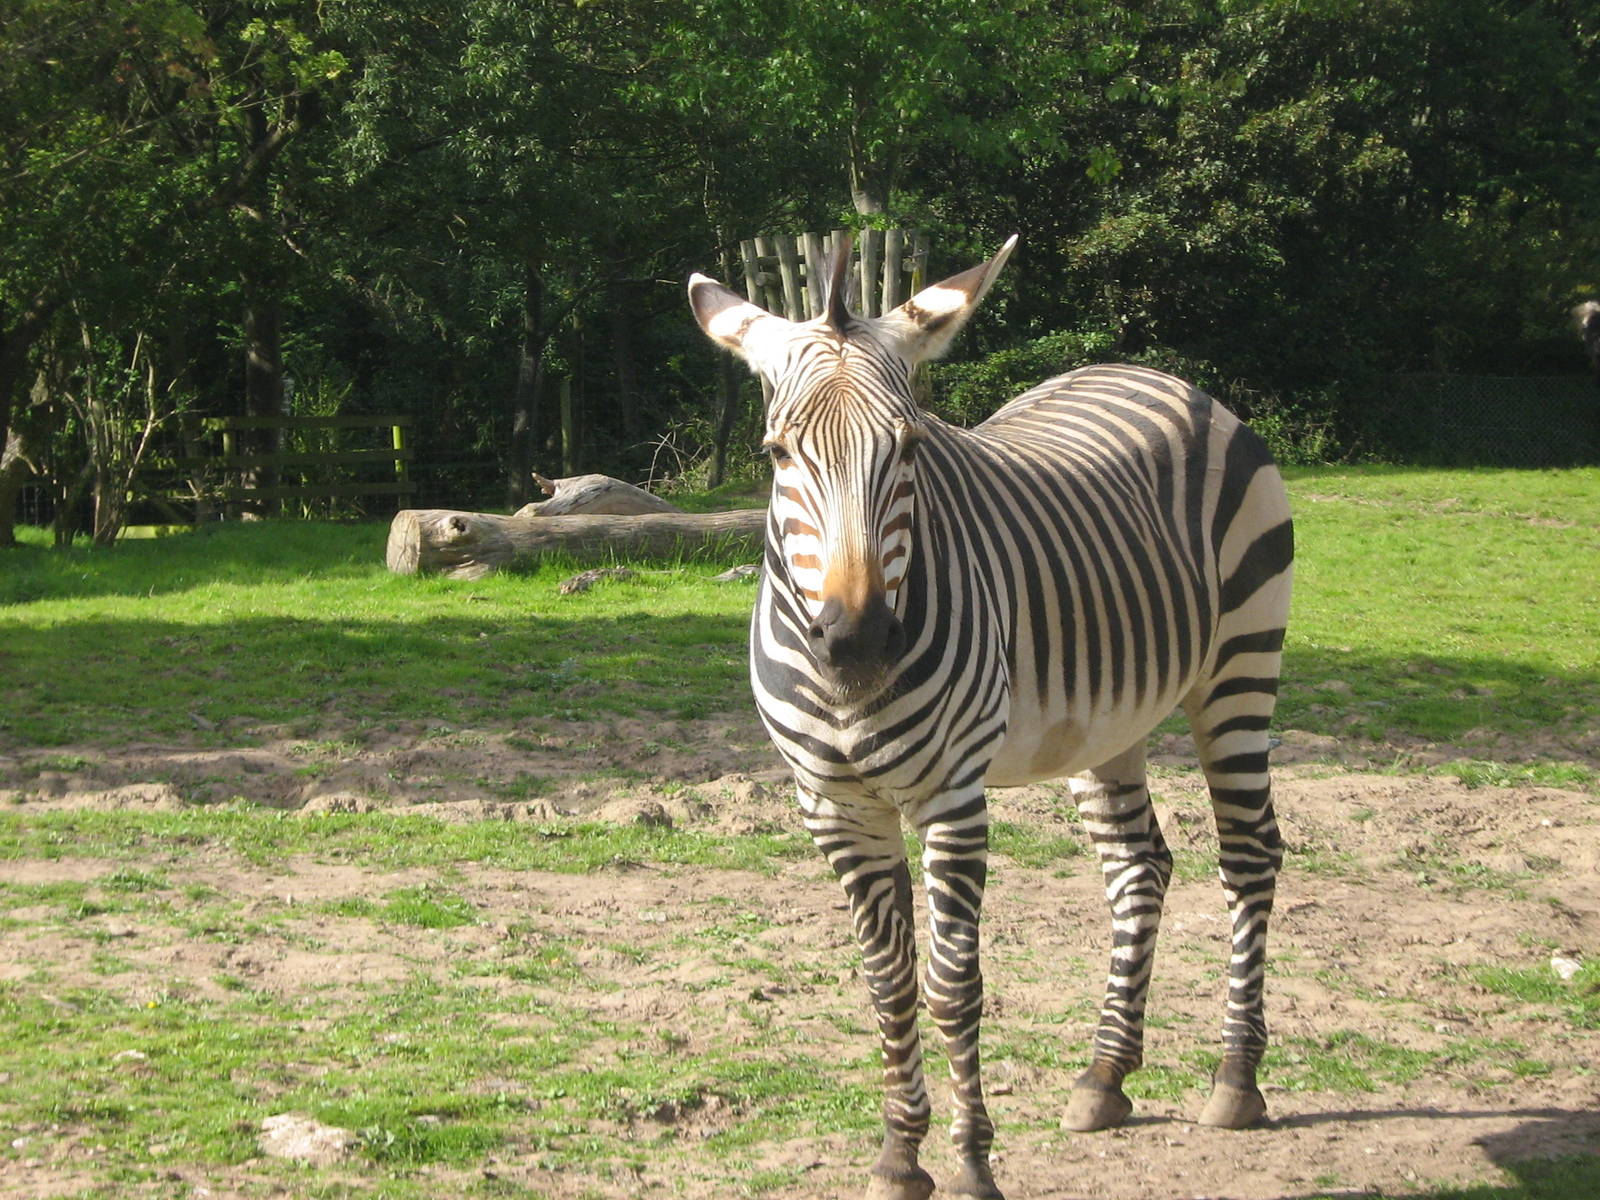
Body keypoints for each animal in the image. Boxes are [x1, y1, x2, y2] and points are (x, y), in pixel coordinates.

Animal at [688, 236, 1293, 1200]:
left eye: (908, 447)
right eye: (778, 454)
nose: (857, 644)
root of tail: (1152, 374)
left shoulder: (952, 799)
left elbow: (952, 986)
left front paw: (971, 1161)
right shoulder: (835, 807)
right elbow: (889, 983)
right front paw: (900, 1159)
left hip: (1240, 667)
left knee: (1247, 856)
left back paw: (1236, 1079)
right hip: (1109, 722)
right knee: (1140, 866)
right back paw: (1105, 1077)